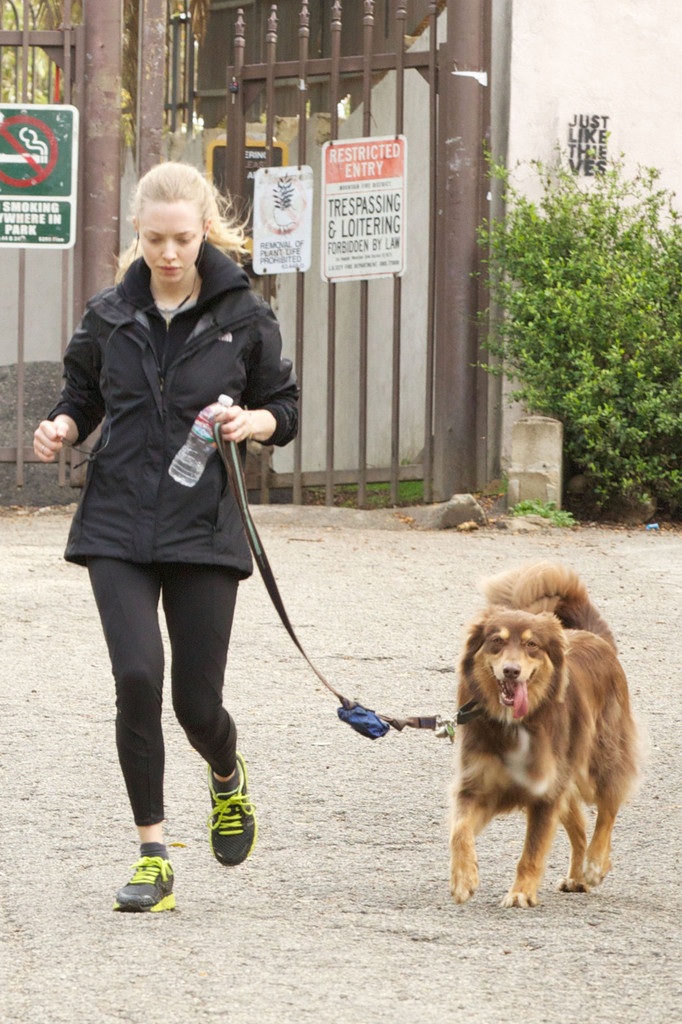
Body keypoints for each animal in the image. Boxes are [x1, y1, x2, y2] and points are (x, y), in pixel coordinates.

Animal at [449, 560, 639, 908]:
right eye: (496, 641)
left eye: (531, 645)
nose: (511, 671)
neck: (513, 724)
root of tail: (596, 639)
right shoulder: (477, 784)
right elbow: (459, 830)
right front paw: (463, 878)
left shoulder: (545, 790)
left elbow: (533, 849)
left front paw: (521, 892)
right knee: (579, 827)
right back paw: (578, 876)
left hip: (601, 758)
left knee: (607, 810)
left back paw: (595, 865)